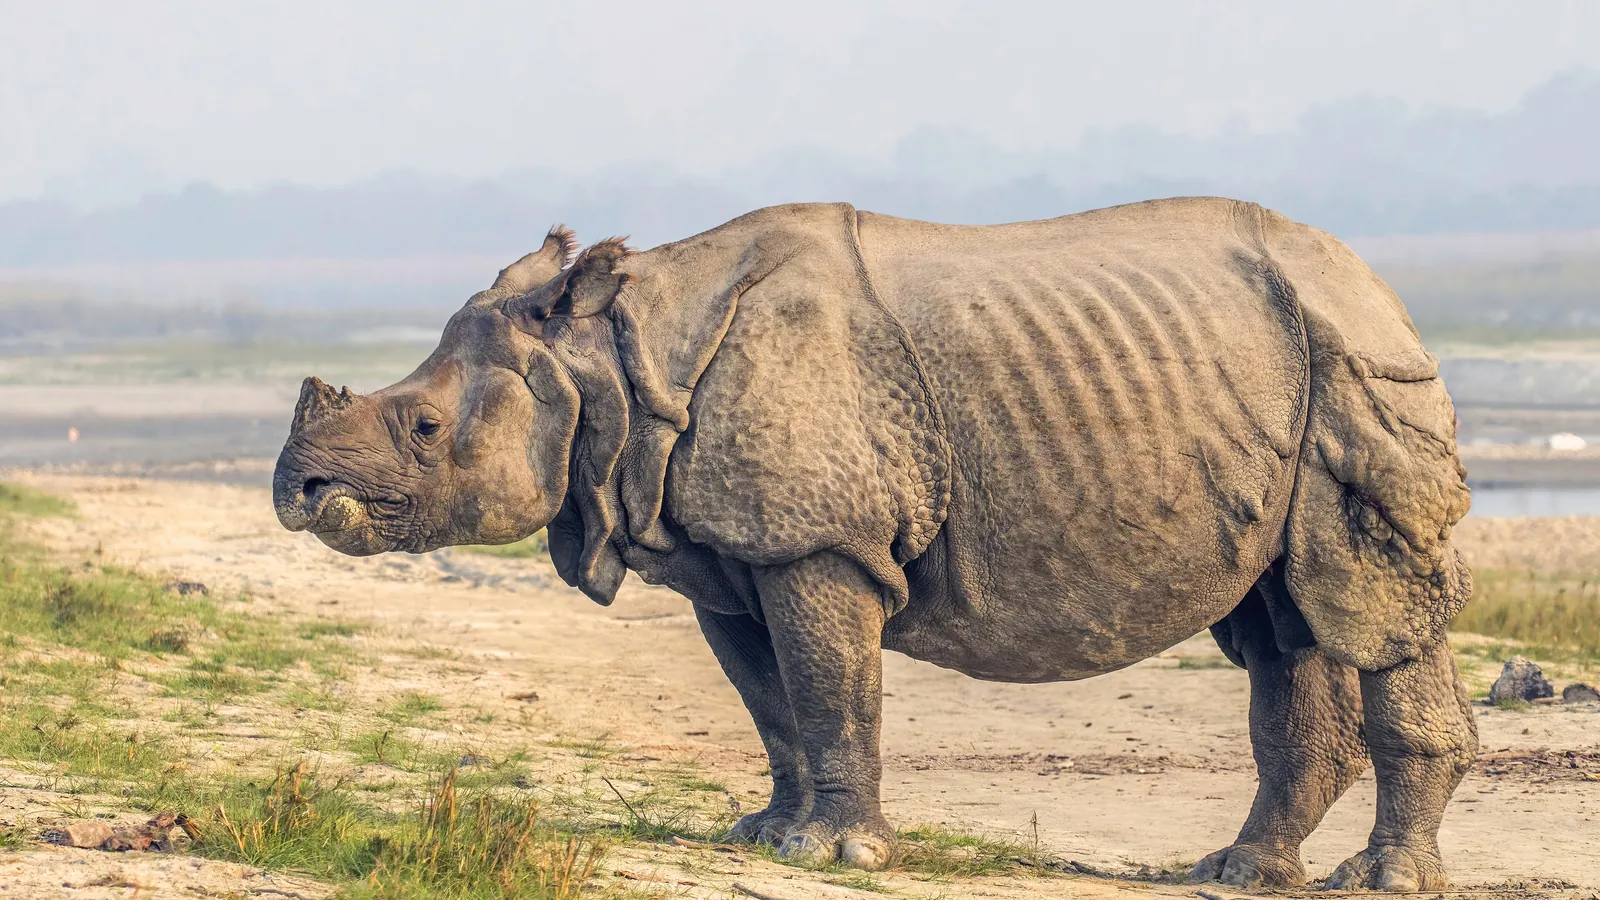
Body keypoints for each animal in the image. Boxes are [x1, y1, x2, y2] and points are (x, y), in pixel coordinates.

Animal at [273, 198, 1477, 890]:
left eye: (425, 430)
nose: (301, 488)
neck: (609, 356)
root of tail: (1374, 281)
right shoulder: (732, 558)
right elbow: (775, 700)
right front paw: (766, 836)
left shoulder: (820, 540)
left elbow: (830, 683)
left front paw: (838, 855)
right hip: (1284, 366)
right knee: (1280, 620)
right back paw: (1237, 872)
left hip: (1358, 358)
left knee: (1372, 607)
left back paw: (1378, 881)